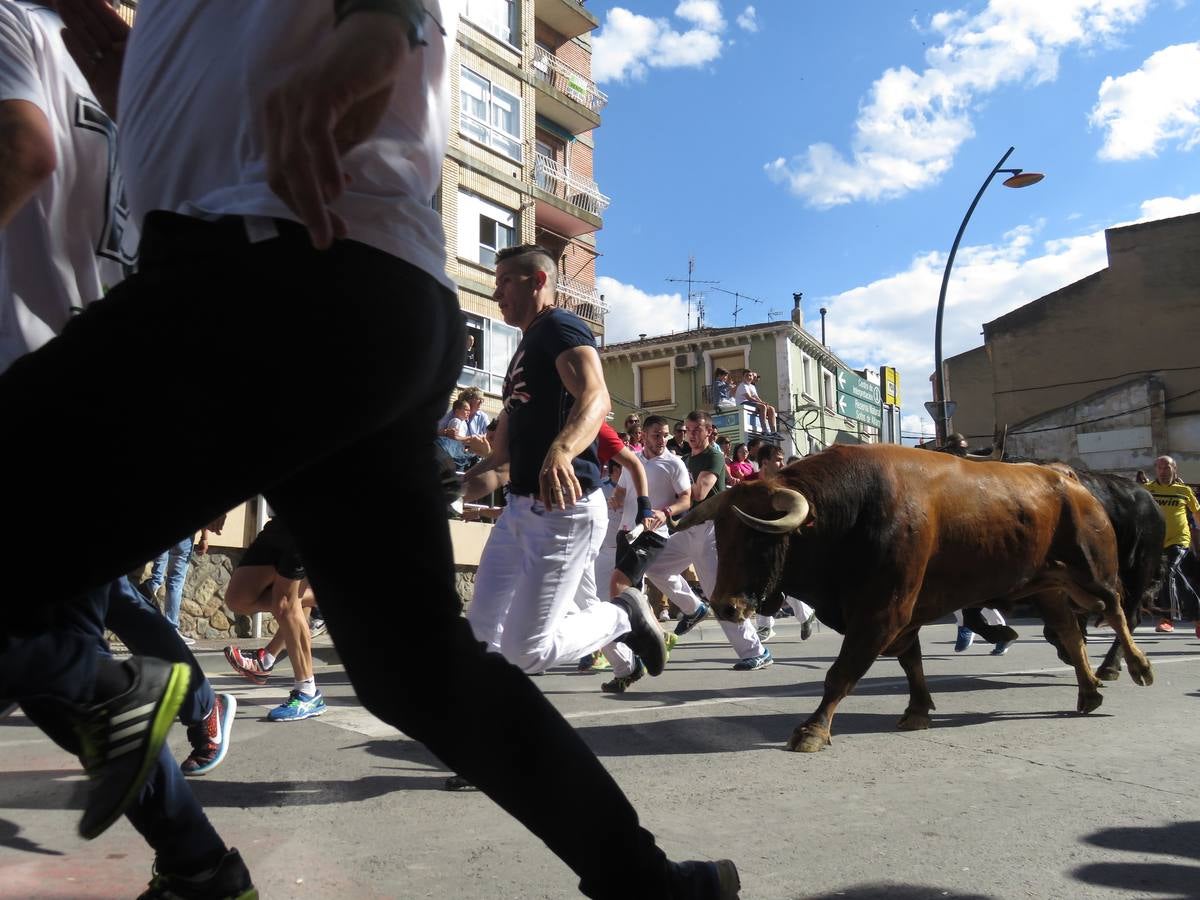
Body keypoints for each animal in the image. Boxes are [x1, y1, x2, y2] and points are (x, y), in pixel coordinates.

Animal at [676, 444, 1152, 753]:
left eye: (758, 539)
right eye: (721, 535)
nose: (725, 606)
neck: (849, 511)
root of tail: (1069, 482)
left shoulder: (881, 613)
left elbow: (840, 673)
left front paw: (812, 729)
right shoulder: (900, 616)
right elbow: (911, 662)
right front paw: (919, 710)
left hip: (1093, 572)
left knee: (1117, 610)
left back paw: (1135, 667)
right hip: (1048, 587)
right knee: (1070, 632)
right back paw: (1088, 692)